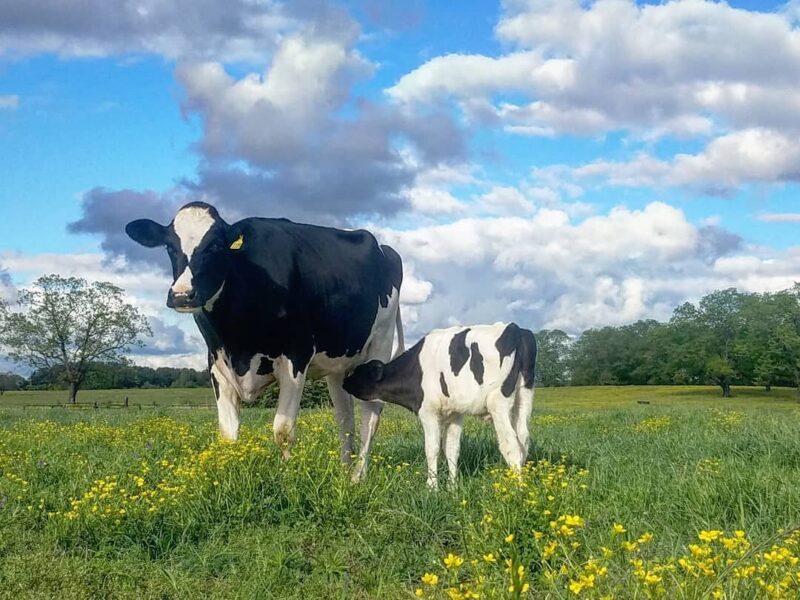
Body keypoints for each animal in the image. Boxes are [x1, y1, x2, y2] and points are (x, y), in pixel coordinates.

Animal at [125, 201, 403, 480]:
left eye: (214, 245)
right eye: (170, 246)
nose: (182, 295)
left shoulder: (296, 355)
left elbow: (283, 430)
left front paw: (289, 475)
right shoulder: (217, 363)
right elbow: (228, 434)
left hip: (379, 345)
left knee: (370, 415)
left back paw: (358, 476)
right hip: (338, 363)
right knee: (345, 416)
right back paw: (343, 472)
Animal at [343, 323, 536, 489]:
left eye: (359, 373)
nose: (344, 381)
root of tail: (515, 329)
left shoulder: (428, 411)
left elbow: (432, 448)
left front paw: (432, 487)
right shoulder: (456, 414)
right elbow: (451, 449)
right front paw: (452, 487)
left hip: (498, 402)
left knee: (511, 445)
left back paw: (517, 489)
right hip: (524, 397)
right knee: (524, 439)